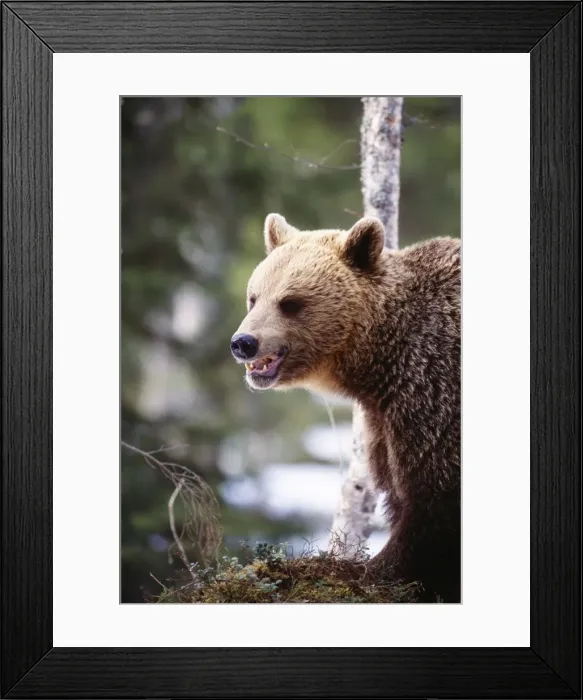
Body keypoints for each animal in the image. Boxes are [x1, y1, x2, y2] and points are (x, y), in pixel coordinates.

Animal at [230, 213, 461, 603]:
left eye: (290, 302)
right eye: (254, 297)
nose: (243, 342)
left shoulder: (431, 387)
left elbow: (432, 497)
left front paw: (369, 570)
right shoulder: (384, 416)